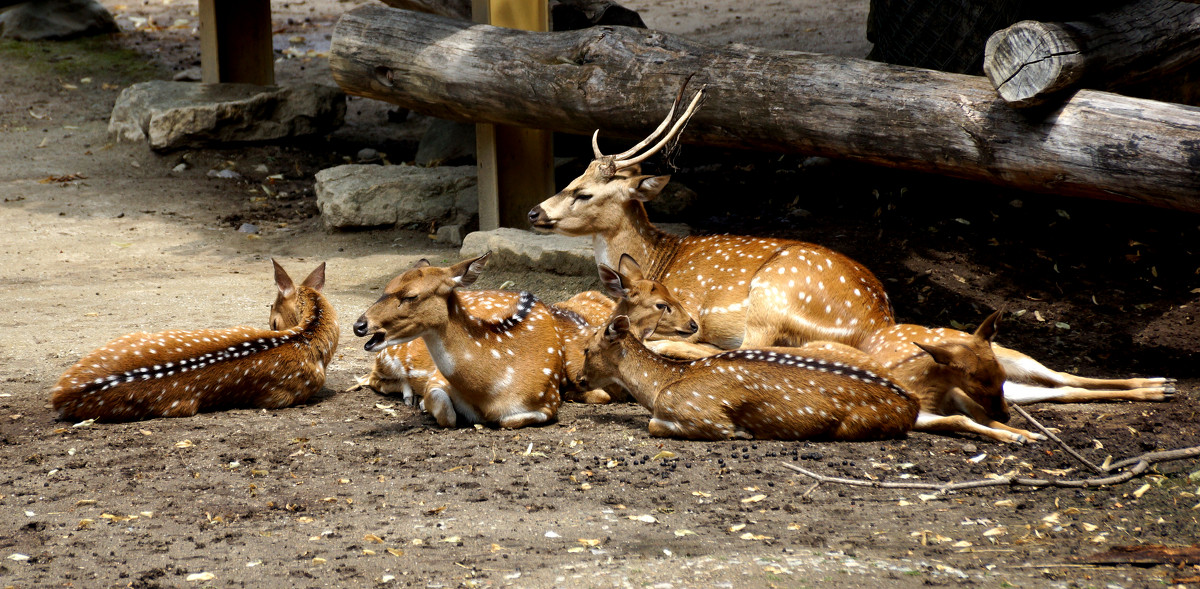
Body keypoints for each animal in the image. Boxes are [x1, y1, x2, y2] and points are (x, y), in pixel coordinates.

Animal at [350, 251, 700, 429]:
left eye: (410, 296)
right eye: (386, 287)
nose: (359, 324)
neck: (490, 385)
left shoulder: (546, 401)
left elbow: (507, 422)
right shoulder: (437, 379)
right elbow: (446, 414)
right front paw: (425, 406)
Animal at [528, 85, 1171, 410]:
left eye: (583, 191)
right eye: (570, 177)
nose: (535, 211)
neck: (657, 254)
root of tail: (875, 317)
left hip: (769, 298)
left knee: (737, 349)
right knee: (1052, 380)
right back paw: (1158, 386)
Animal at [580, 316, 916, 441]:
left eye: (586, 349)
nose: (581, 380)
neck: (661, 386)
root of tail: (911, 404)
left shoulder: (707, 415)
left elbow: (653, 425)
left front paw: (743, 432)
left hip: (853, 425)